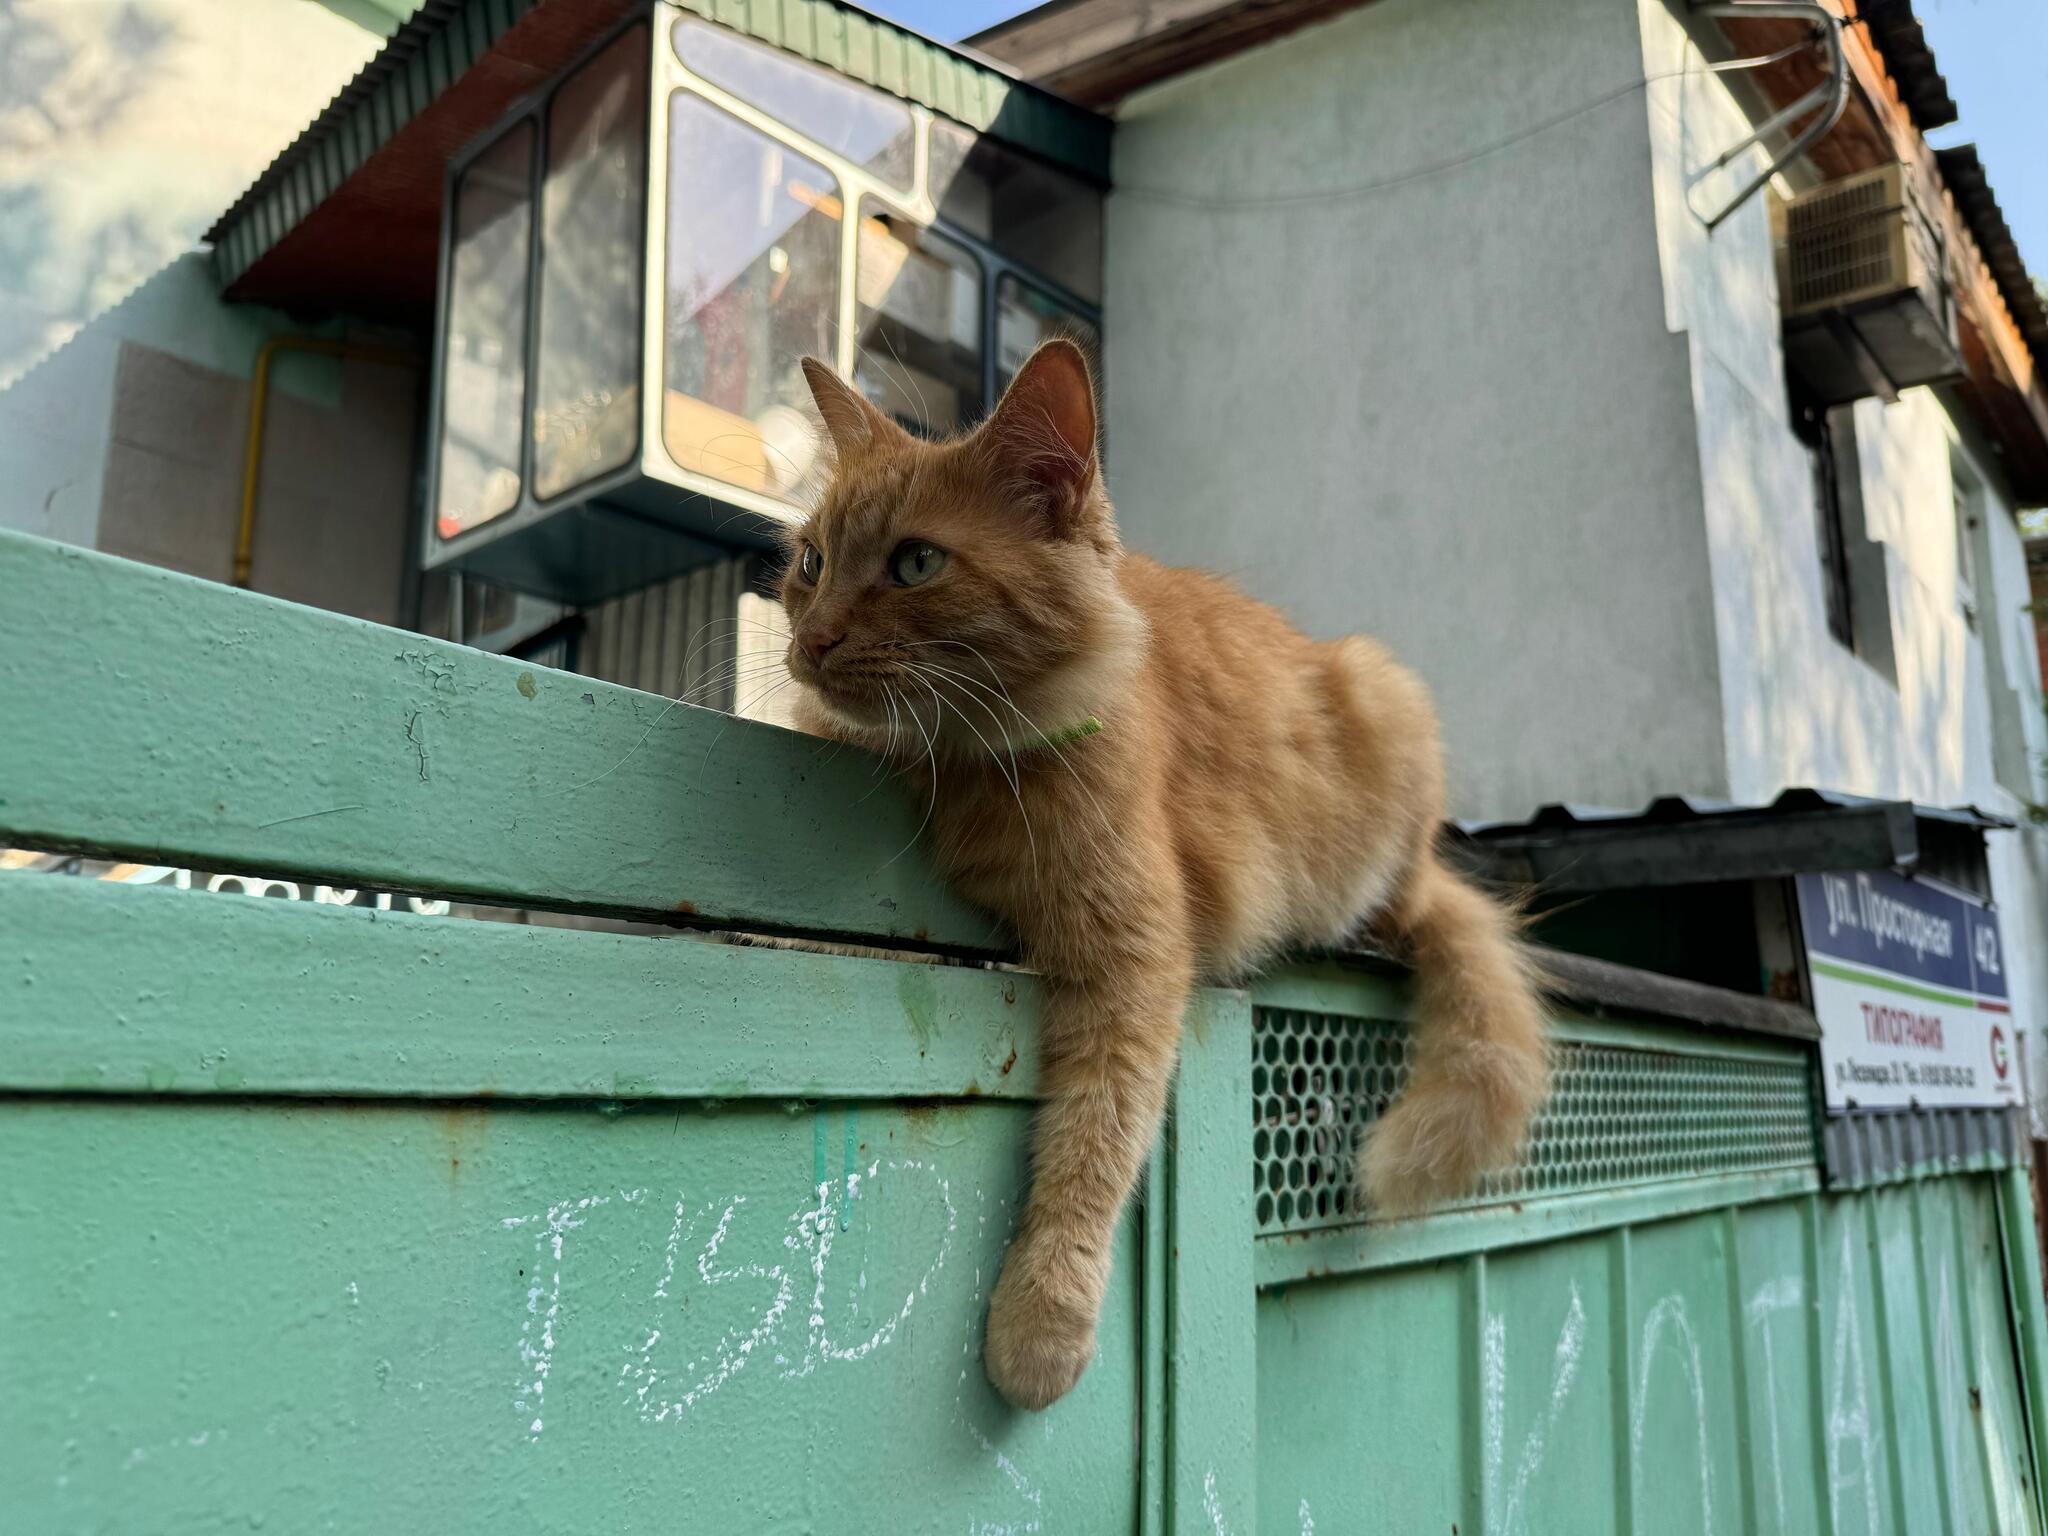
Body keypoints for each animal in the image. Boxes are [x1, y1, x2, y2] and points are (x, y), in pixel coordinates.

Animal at [782, 342, 1548, 1417]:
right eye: (810, 562)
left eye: (916, 563)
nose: (810, 642)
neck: (953, 772)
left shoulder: (1134, 963)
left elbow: (1093, 1146)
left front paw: (1041, 1323)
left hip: (1385, 700)